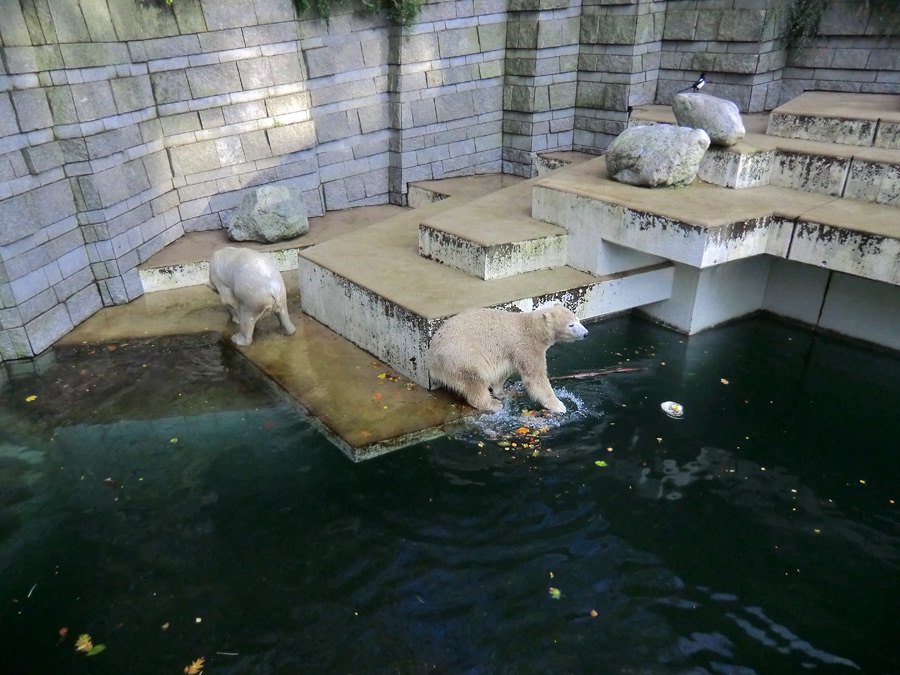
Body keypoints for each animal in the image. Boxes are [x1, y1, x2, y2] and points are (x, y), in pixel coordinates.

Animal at [428, 304, 592, 412]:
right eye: (571, 325)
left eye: (578, 319)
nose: (586, 334)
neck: (532, 327)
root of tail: (432, 359)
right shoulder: (527, 346)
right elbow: (535, 378)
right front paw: (558, 405)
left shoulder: (510, 352)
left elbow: (504, 371)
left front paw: (500, 392)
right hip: (461, 356)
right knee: (475, 379)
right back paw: (492, 404)